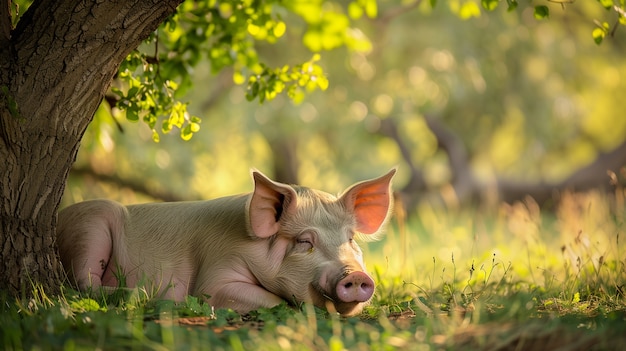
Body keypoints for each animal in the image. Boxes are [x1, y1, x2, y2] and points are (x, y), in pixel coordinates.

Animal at [56, 169, 392, 318]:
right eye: (304, 241)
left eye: (350, 238)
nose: (356, 275)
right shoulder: (217, 272)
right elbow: (274, 301)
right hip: (91, 227)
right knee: (81, 284)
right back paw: (145, 295)